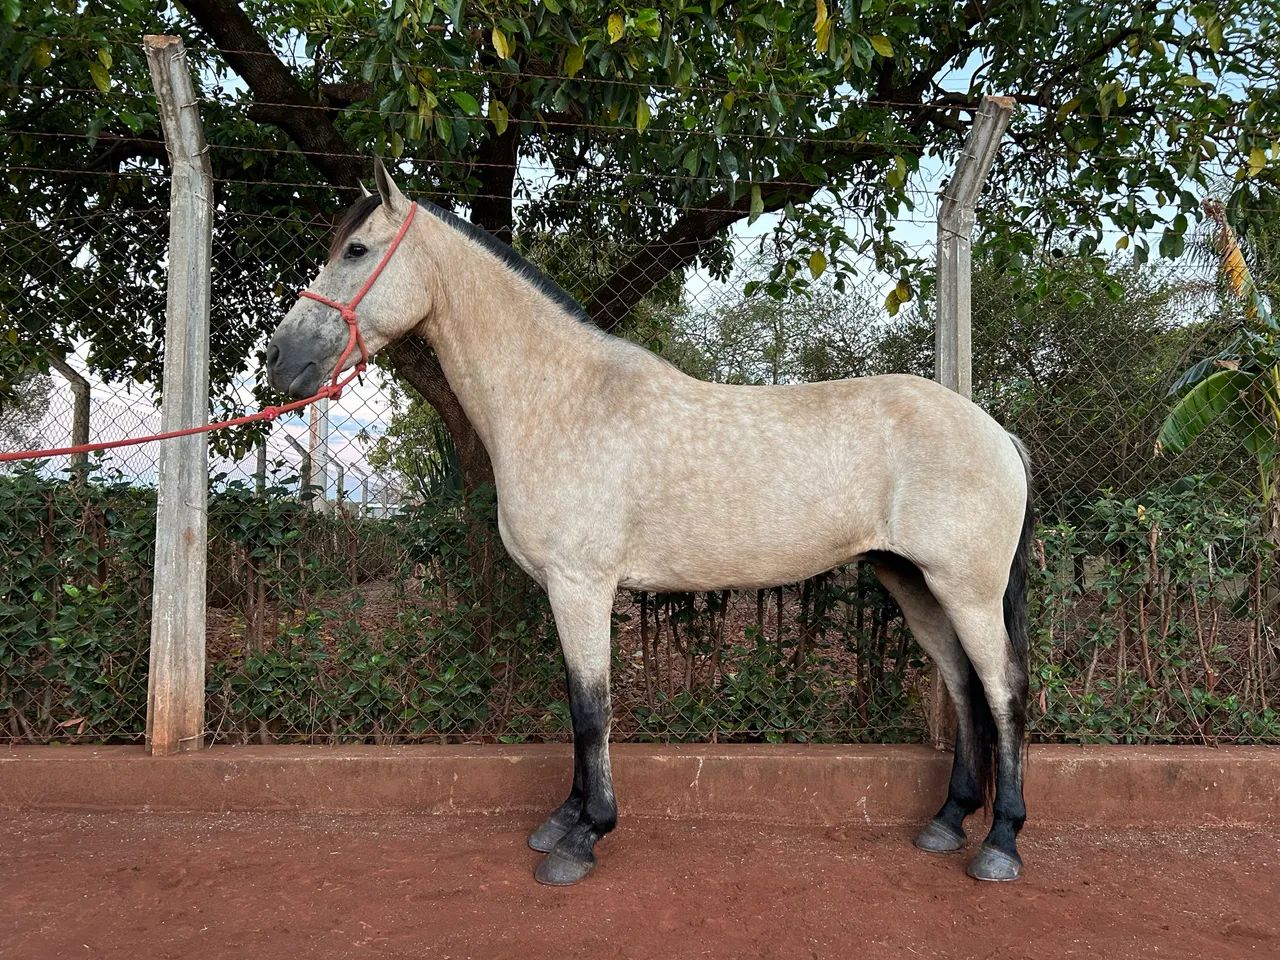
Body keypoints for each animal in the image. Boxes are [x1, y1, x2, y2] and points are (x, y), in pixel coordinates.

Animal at [264, 160, 1034, 887]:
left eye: (357, 249)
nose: (279, 360)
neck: (562, 398)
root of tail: (996, 432)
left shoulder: (581, 586)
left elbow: (591, 710)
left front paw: (583, 838)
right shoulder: (565, 591)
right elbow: (577, 707)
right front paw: (564, 819)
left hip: (965, 590)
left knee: (1002, 691)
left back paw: (1000, 844)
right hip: (913, 582)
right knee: (964, 687)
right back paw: (949, 820)